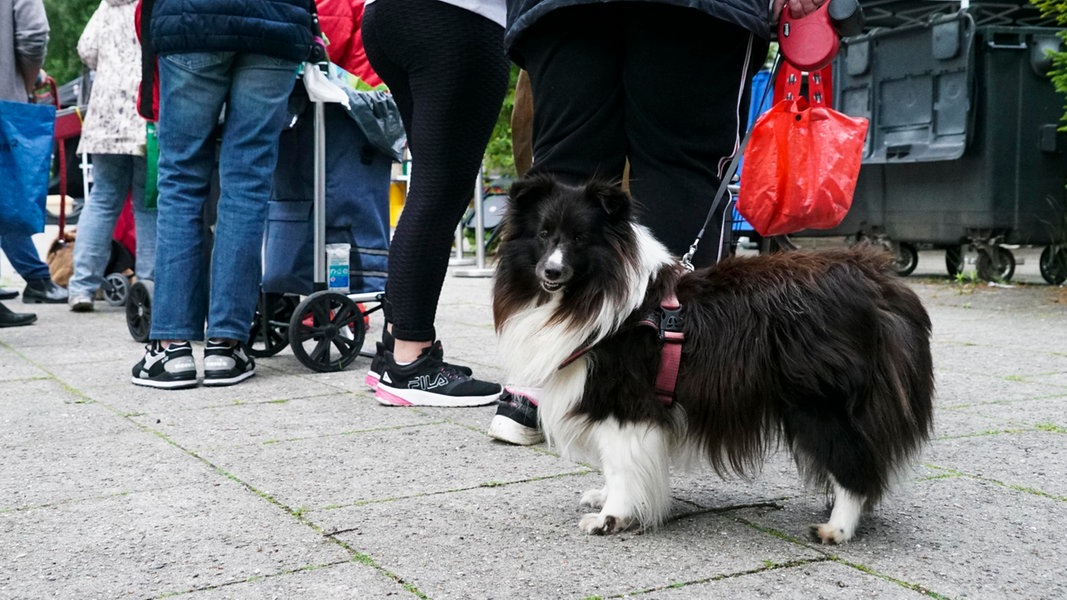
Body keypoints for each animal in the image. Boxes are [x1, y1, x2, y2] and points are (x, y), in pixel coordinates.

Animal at [490, 174, 934, 542]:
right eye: (544, 234)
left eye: (581, 238)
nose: (551, 272)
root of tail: (877, 281)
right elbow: (615, 465)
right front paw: (605, 499)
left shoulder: (626, 405)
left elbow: (619, 463)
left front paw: (611, 517)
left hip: (821, 405)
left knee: (855, 466)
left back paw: (836, 529)